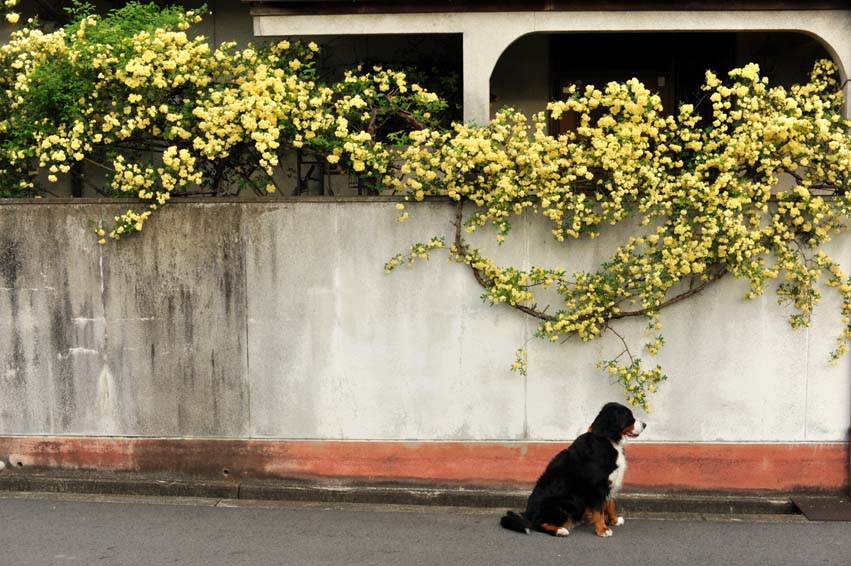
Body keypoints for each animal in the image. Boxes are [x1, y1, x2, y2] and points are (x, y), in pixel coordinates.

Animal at [500, 402, 644, 540]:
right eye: (629, 417)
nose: (645, 424)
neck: (608, 440)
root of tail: (527, 514)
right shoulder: (598, 487)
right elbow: (599, 511)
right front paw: (603, 530)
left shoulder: (609, 481)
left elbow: (610, 504)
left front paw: (614, 520)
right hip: (560, 505)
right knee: (538, 524)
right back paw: (560, 530)